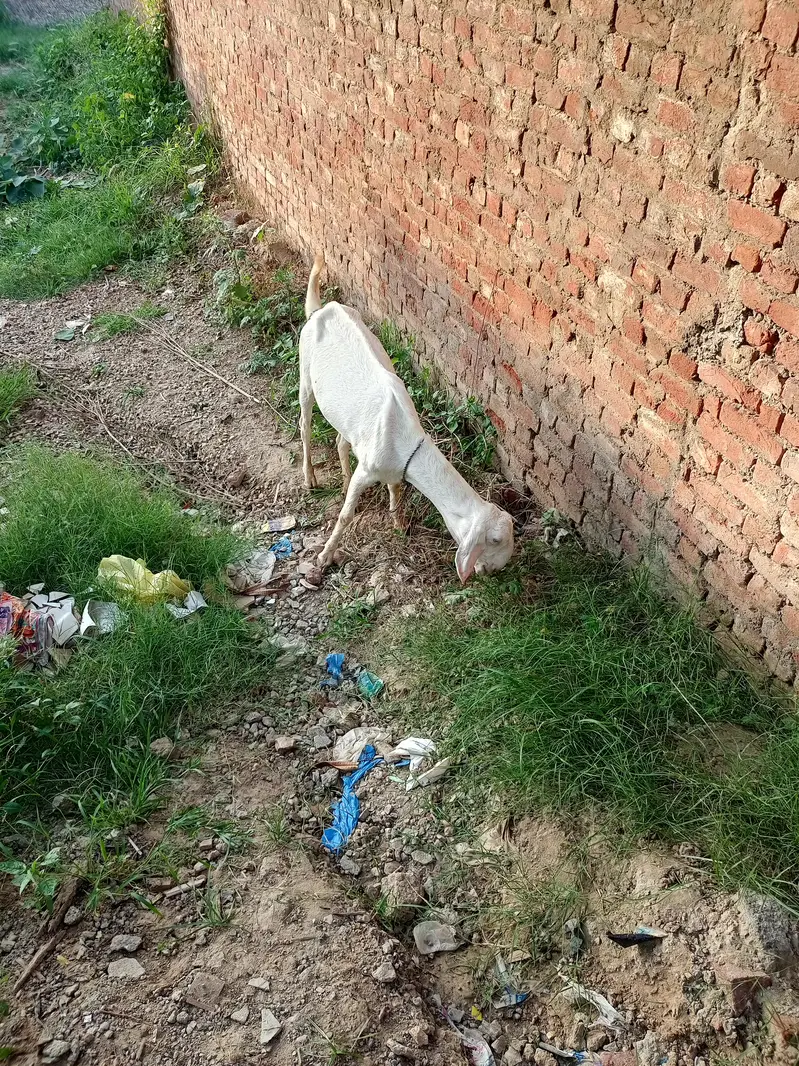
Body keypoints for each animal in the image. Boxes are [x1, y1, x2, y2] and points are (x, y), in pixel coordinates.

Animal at [298, 253, 514, 582]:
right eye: (495, 540)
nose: (492, 571)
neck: (405, 440)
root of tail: (321, 309)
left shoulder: (390, 467)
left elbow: (395, 488)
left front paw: (398, 523)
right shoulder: (368, 468)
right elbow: (346, 515)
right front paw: (325, 555)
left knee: (341, 440)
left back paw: (343, 480)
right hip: (305, 374)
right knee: (305, 426)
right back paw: (309, 477)